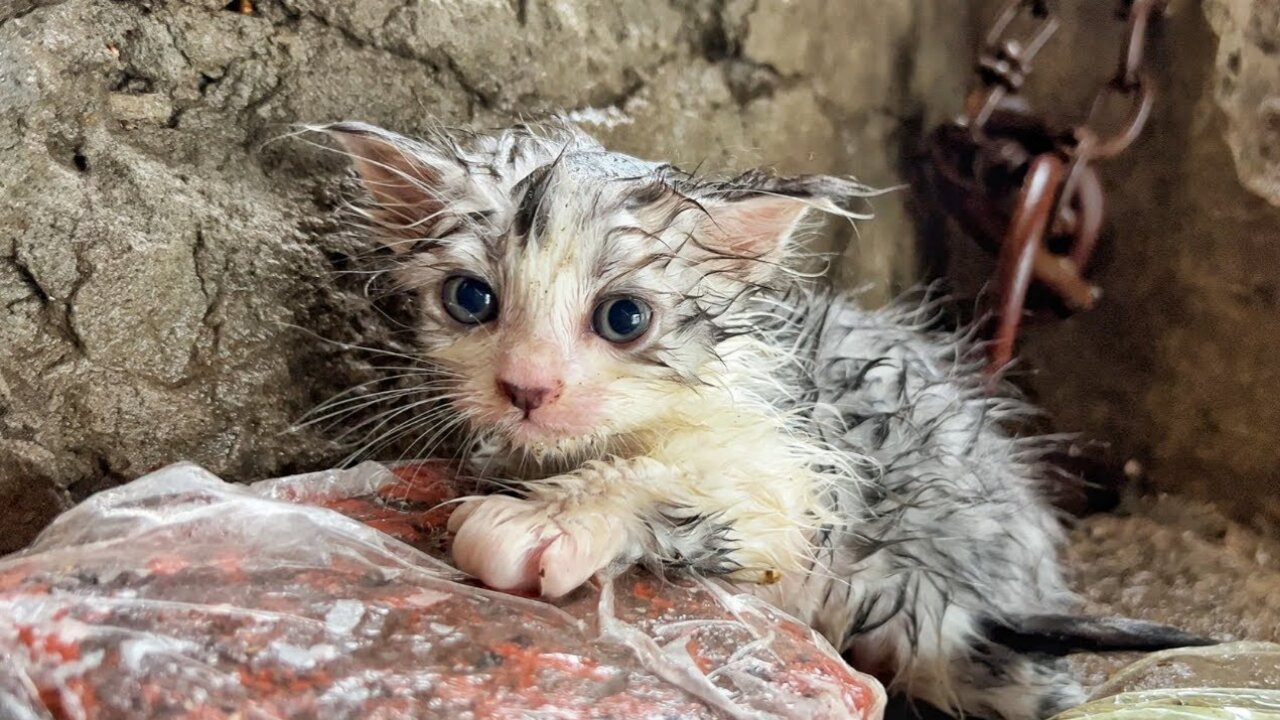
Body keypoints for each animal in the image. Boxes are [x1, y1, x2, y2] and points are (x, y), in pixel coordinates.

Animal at [309, 120, 1208, 717]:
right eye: (471, 300)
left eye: (624, 318)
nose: (527, 388)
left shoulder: (802, 465)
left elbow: (676, 481)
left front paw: (549, 519)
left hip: (954, 620)